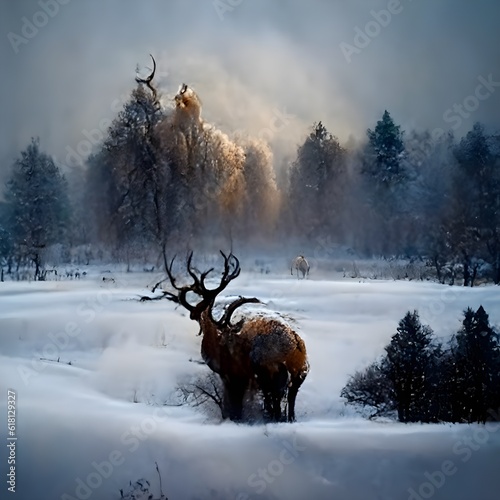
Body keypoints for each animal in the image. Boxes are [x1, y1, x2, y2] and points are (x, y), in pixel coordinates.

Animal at [160, 250, 308, 422]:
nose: (193, 313)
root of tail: (295, 347)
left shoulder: (233, 376)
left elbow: (234, 406)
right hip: (298, 375)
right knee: (289, 400)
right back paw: (289, 418)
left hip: (269, 375)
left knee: (275, 400)